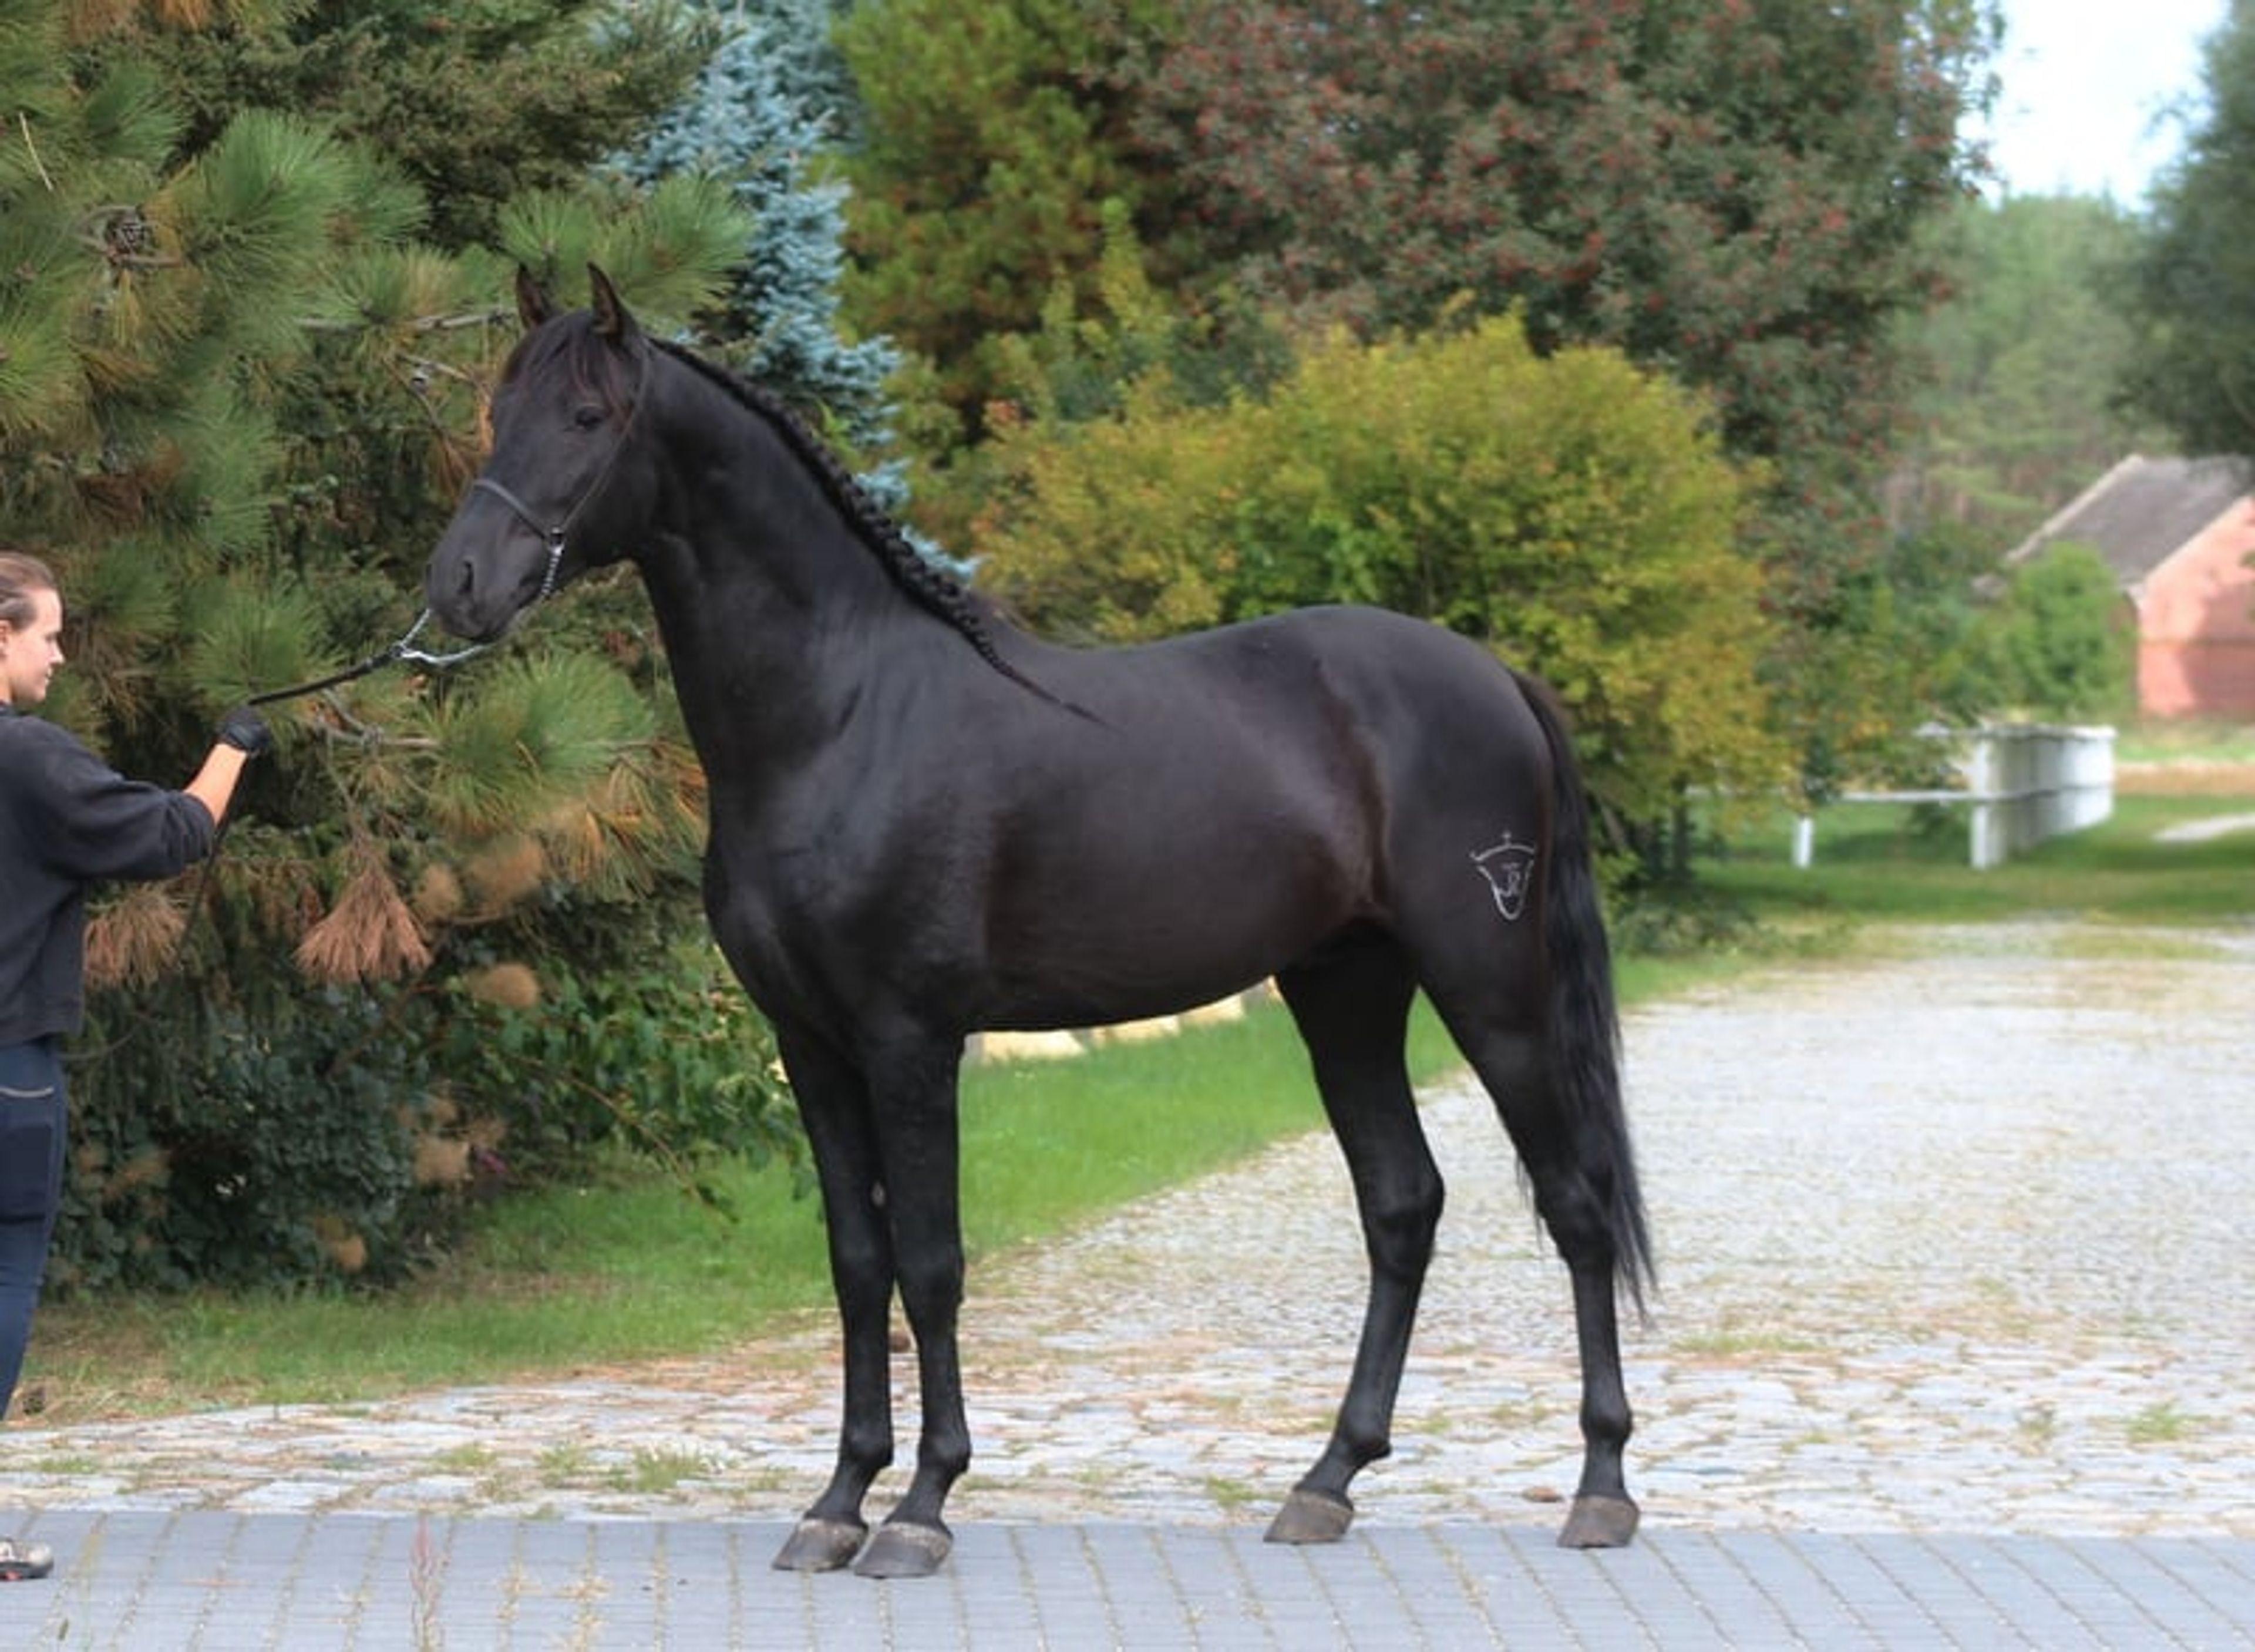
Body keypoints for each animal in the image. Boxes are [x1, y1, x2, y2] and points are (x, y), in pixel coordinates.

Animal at [424, 266, 1655, 1580]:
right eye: (498, 408)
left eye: (588, 417)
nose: (460, 583)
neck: (845, 711)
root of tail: (1497, 678)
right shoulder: (811, 1042)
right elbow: (857, 1264)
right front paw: (838, 1499)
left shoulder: (910, 1038)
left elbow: (931, 1264)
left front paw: (920, 1506)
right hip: (1345, 990)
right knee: (1402, 1204)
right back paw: (1326, 1481)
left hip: (1491, 992)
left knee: (1576, 1205)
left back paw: (1600, 1486)